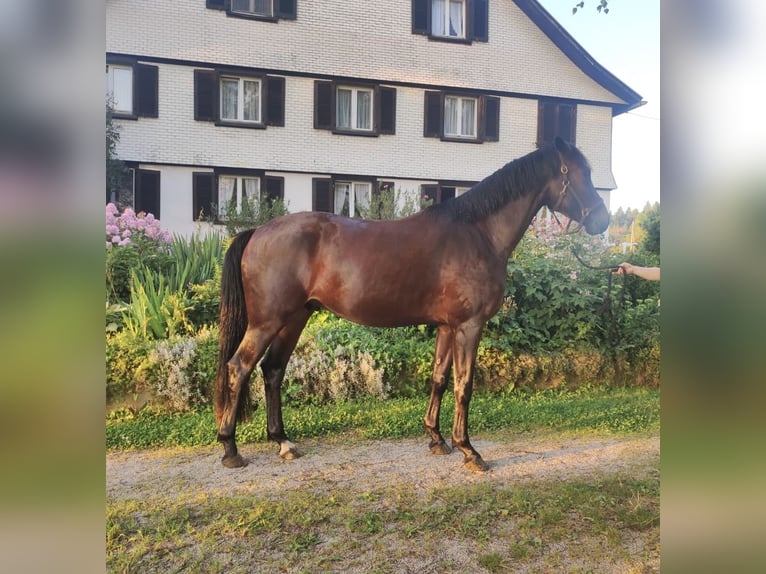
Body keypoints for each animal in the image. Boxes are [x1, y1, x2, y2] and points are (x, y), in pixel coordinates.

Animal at [213, 138, 608, 472]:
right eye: (579, 173)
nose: (601, 220)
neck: (478, 233)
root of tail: (257, 232)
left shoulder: (448, 326)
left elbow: (439, 379)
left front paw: (436, 439)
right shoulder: (469, 326)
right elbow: (464, 385)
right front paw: (469, 450)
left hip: (294, 318)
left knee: (272, 370)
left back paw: (283, 442)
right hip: (267, 322)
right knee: (239, 368)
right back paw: (230, 449)